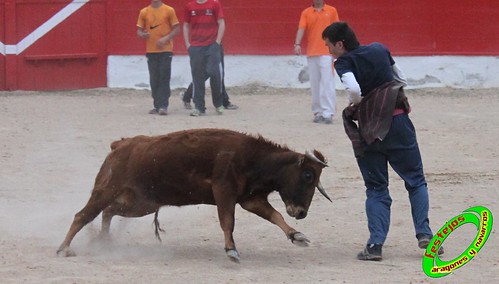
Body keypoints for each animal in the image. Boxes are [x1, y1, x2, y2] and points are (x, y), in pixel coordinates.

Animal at [56, 129, 330, 262]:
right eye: (308, 175)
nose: (301, 213)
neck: (254, 159)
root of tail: (120, 145)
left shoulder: (250, 199)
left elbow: (274, 216)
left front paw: (297, 236)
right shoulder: (224, 191)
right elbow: (228, 222)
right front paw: (231, 251)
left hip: (140, 203)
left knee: (109, 211)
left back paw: (104, 241)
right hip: (108, 189)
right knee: (83, 215)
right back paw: (63, 249)